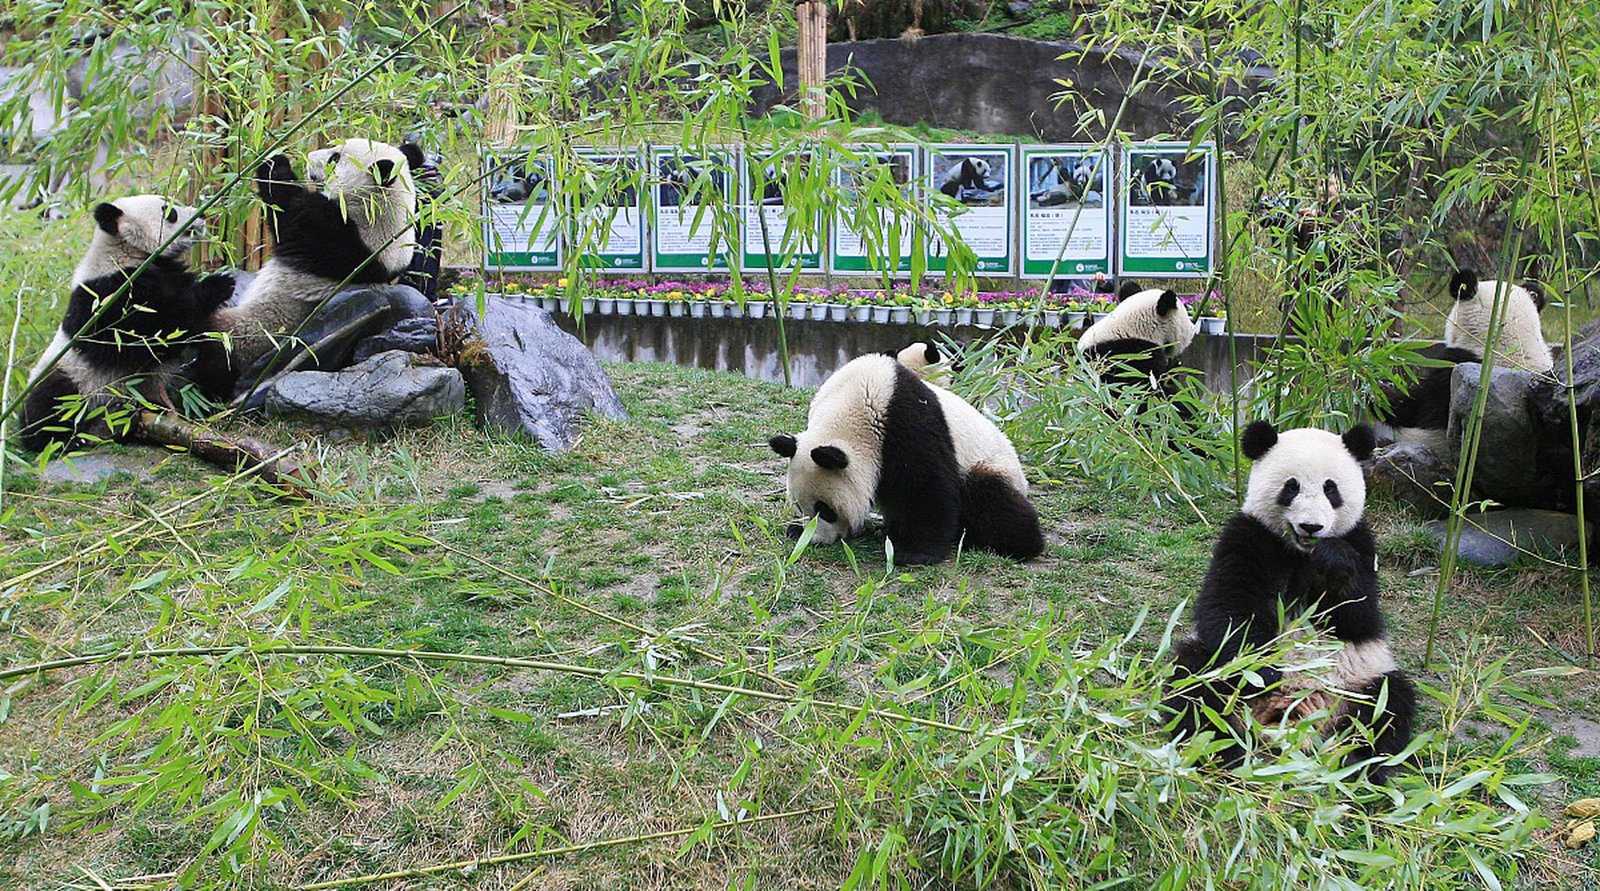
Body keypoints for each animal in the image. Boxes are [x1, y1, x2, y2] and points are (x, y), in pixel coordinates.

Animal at [18, 195, 234, 453]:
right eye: (169, 212)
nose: (201, 215)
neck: (128, 252)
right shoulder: (107, 296)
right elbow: (144, 337)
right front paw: (217, 285)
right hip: (72, 377)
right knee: (48, 405)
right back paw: (66, 438)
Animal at [197, 137, 423, 397]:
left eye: (335, 157)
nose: (309, 158)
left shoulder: (335, 238)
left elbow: (287, 211)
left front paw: (275, 162)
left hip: (249, 333)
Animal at [768, 353, 1044, 566]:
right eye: (800, 507)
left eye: (825, 510)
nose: (816, 539)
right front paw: (796, 529)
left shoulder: (907, 423)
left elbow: (927, 489)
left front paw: (913, 553)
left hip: (988, 463)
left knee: (992, 500)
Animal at [1165, 421, 1415, 783]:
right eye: (1291, 487)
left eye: (1330, 489)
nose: (1311, 526)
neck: (1301, 553)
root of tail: (1290, 724)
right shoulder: (1250, 537)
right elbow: (1231, 606)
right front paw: (1264, 673)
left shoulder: (1361, 544)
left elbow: (1359, 615)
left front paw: (1333, 562)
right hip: (1216, 673)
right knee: (1195, 688)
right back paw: (1222, 752)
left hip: (1359, 682)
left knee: (1386, 709)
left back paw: (1356, 767)